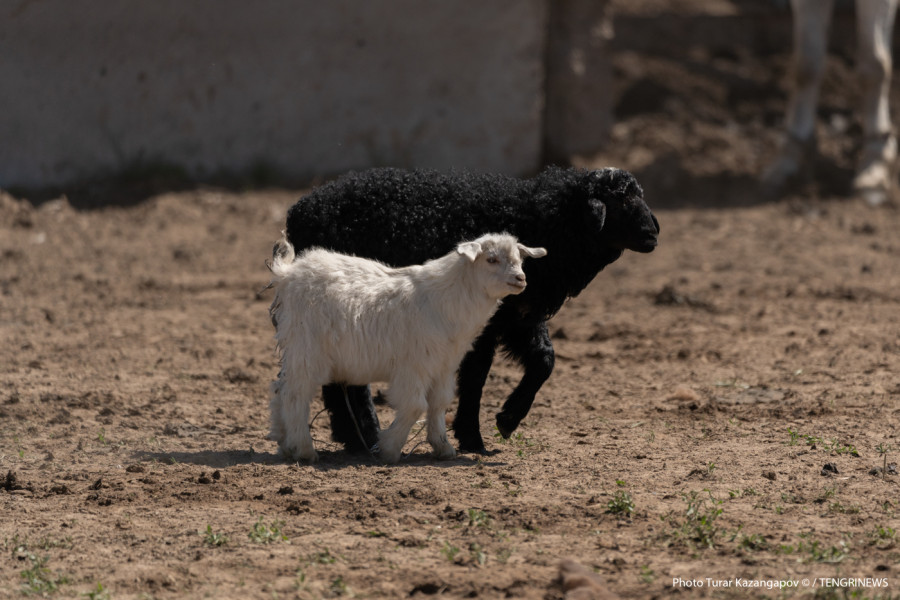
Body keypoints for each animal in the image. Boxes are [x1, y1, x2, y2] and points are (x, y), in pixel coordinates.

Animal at [284, 164, 660, 454]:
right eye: (621, 200)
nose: (654, 232)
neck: (540, 219)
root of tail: (299, 211)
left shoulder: (519, 315)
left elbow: (545, 360)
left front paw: (508, 419)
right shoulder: (485, 323)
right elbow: (477, 377)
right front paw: (473, 438)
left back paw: (356, 438)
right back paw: (365, 435)